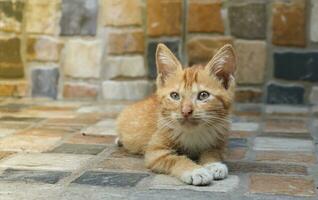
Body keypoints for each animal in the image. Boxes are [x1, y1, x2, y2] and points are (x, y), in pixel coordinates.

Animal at [115, 43, 235, 185]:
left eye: (203, 95)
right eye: (175, 96)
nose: (186, 111)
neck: (193, 132)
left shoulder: (218, 141)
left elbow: (213, 152)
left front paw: (213, 164)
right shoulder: (155, 152)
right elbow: (176, 159)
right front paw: (195, 171)